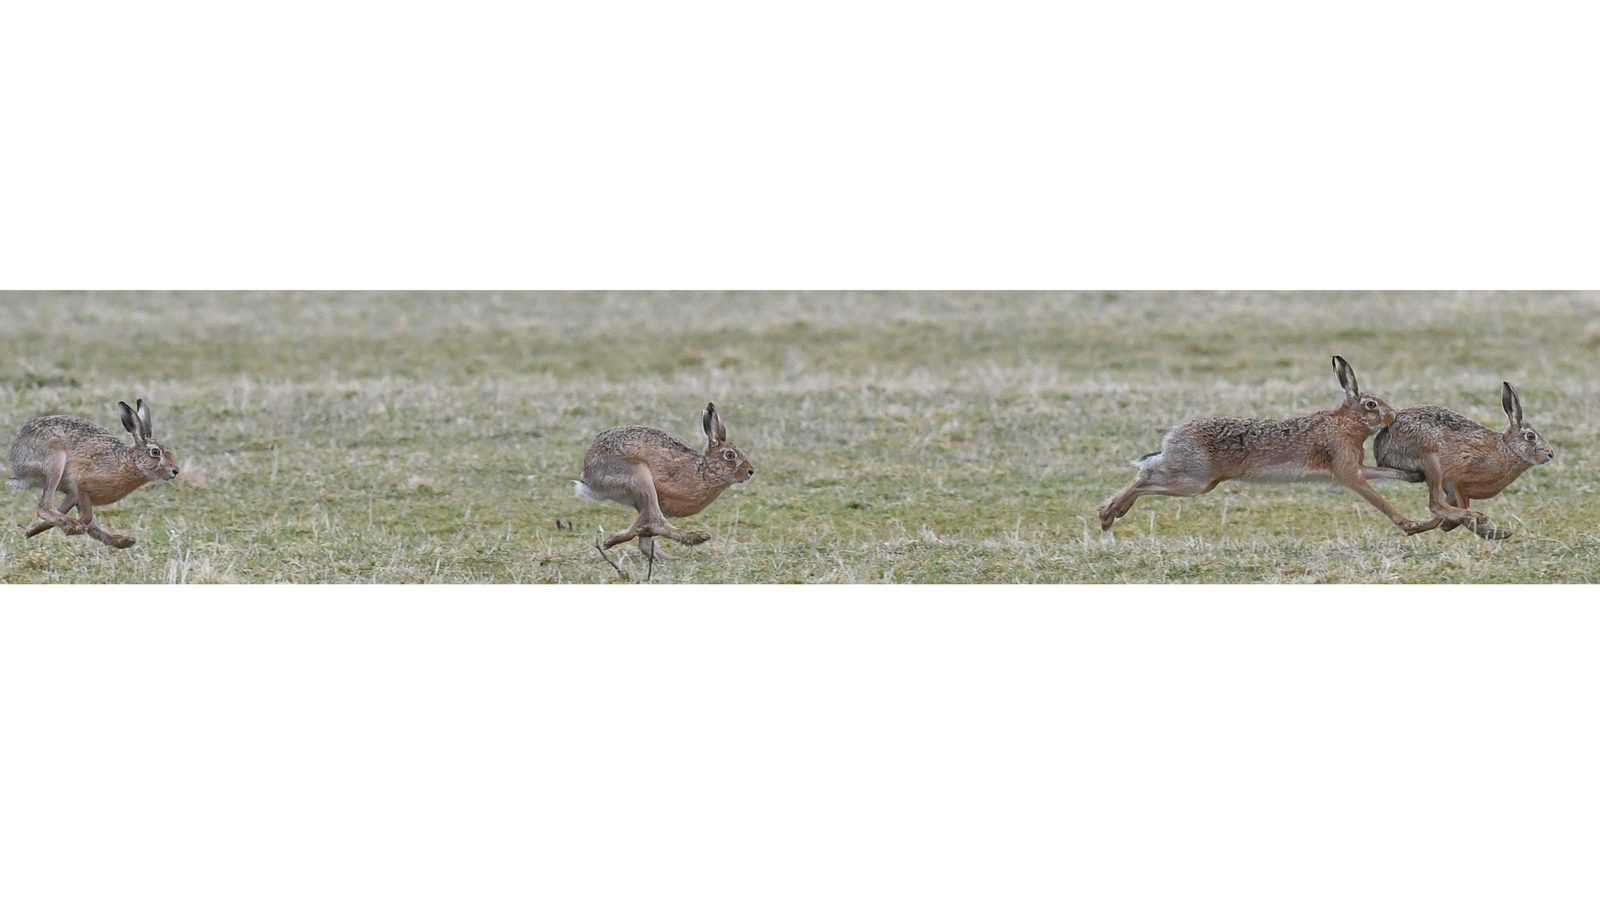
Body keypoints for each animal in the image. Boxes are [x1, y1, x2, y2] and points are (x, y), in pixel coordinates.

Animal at [8, 399, 180, 549]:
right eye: (155, 452)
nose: (175, 471)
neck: (131, 463)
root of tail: (16, 461)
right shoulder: (82, 484)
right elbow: (87, 517)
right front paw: (74, 527)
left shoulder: (75, 492)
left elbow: (86, 519)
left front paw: (32, 530)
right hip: (55, 462)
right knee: (44, 507)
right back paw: (72, 526)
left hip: (67, 489)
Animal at [574, 401, 755, 579]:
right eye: (730, 455)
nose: (751, 471)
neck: (706, 471)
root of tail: (588, 476)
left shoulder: (651, 506)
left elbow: (640, 533)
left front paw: (612, 539)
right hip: (640, 476)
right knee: (658, 522)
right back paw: (697, 538)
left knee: (646, 539)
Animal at [1098, 356, 1428, 536]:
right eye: (1371, 404)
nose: (1392, 415)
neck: (1346, 424)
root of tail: (1172, 438)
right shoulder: (1348, 472)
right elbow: (1378, 500)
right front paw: (1410, 524)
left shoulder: (1355, 466)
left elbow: (1386, 472)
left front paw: (1414, 476)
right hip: (1193, 480)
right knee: (1145, 481)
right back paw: (1108, 513)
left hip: (1195, 480)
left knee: (1146, 473)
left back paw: (1112, 511)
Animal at [1368, 382, 1554, 540]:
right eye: (1530, 436)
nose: (1551, 454)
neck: (1508, 449)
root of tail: (1380, 445)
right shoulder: (1459, 481)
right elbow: (1461, 506)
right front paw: (1483, 529)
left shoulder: (1452, 490)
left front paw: (1448, 525)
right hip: (1430, 458)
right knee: (1436, 504)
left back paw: (1416, 527)